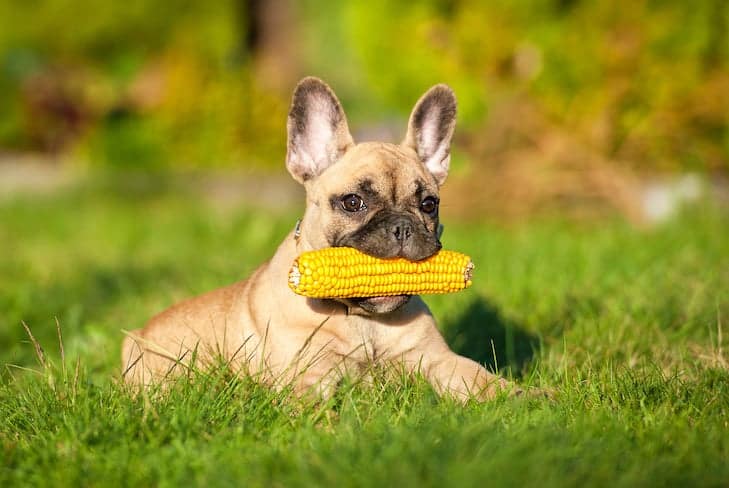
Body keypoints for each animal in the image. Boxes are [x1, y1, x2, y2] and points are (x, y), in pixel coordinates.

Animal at [122, 77, 516, 400]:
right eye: (353, 202)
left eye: (429, 205)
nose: (403, 226)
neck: (362, 321)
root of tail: (137, 334)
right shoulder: (311, 376)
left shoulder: (436, 359)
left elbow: (480, 379)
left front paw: (523, 398)